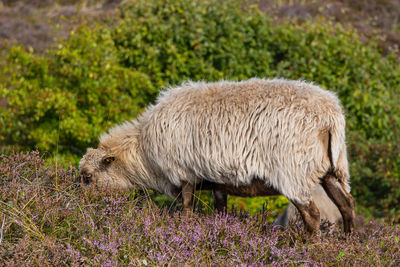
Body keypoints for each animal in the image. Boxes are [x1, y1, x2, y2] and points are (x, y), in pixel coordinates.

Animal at [79, 78, 354, 238]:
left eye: (88, 177)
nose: (80, 205)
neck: (145, 153)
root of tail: (330, 116)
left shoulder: (184, 174)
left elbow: (187, 209)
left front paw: (185, 231)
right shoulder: (220, 182)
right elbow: (221, 212)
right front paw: (220, 231)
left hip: (294, 172)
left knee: (313, 214)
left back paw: (308, 246)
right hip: (332, 169)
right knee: (346, 205)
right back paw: (348, 243)